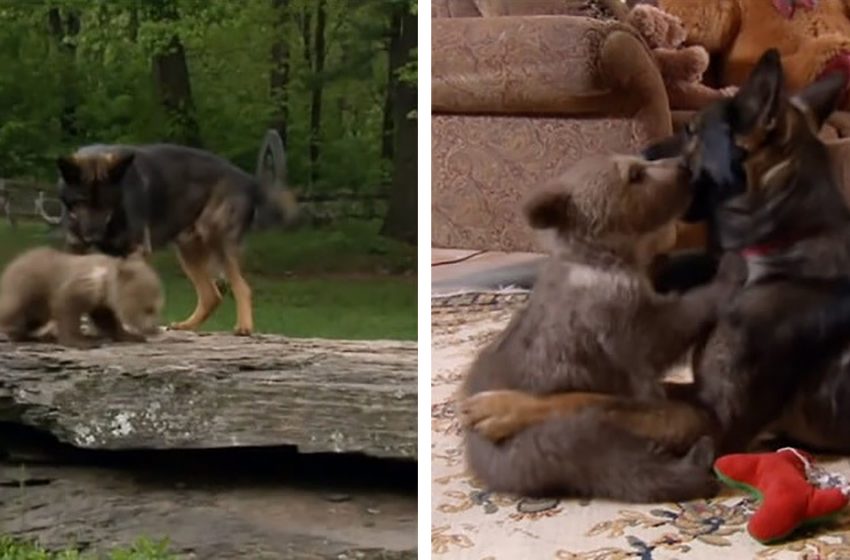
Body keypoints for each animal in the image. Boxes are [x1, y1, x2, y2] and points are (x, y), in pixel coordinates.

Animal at [56, 145, 294, 336]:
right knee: (211, 295)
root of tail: (249, 181)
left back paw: (244, 327)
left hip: (217, 240)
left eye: (107, 203)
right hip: (189, 251)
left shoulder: (135, 250)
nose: (92, 237)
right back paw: (187, 325)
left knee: (242, 287)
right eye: (81, 201)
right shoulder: (76, 248)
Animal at [464, 49, 850, 486]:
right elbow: (616, 395)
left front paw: (506, 406)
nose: (645, 152)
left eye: (692, 130)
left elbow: (596, 401)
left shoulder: (715, 422)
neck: (782, 241)